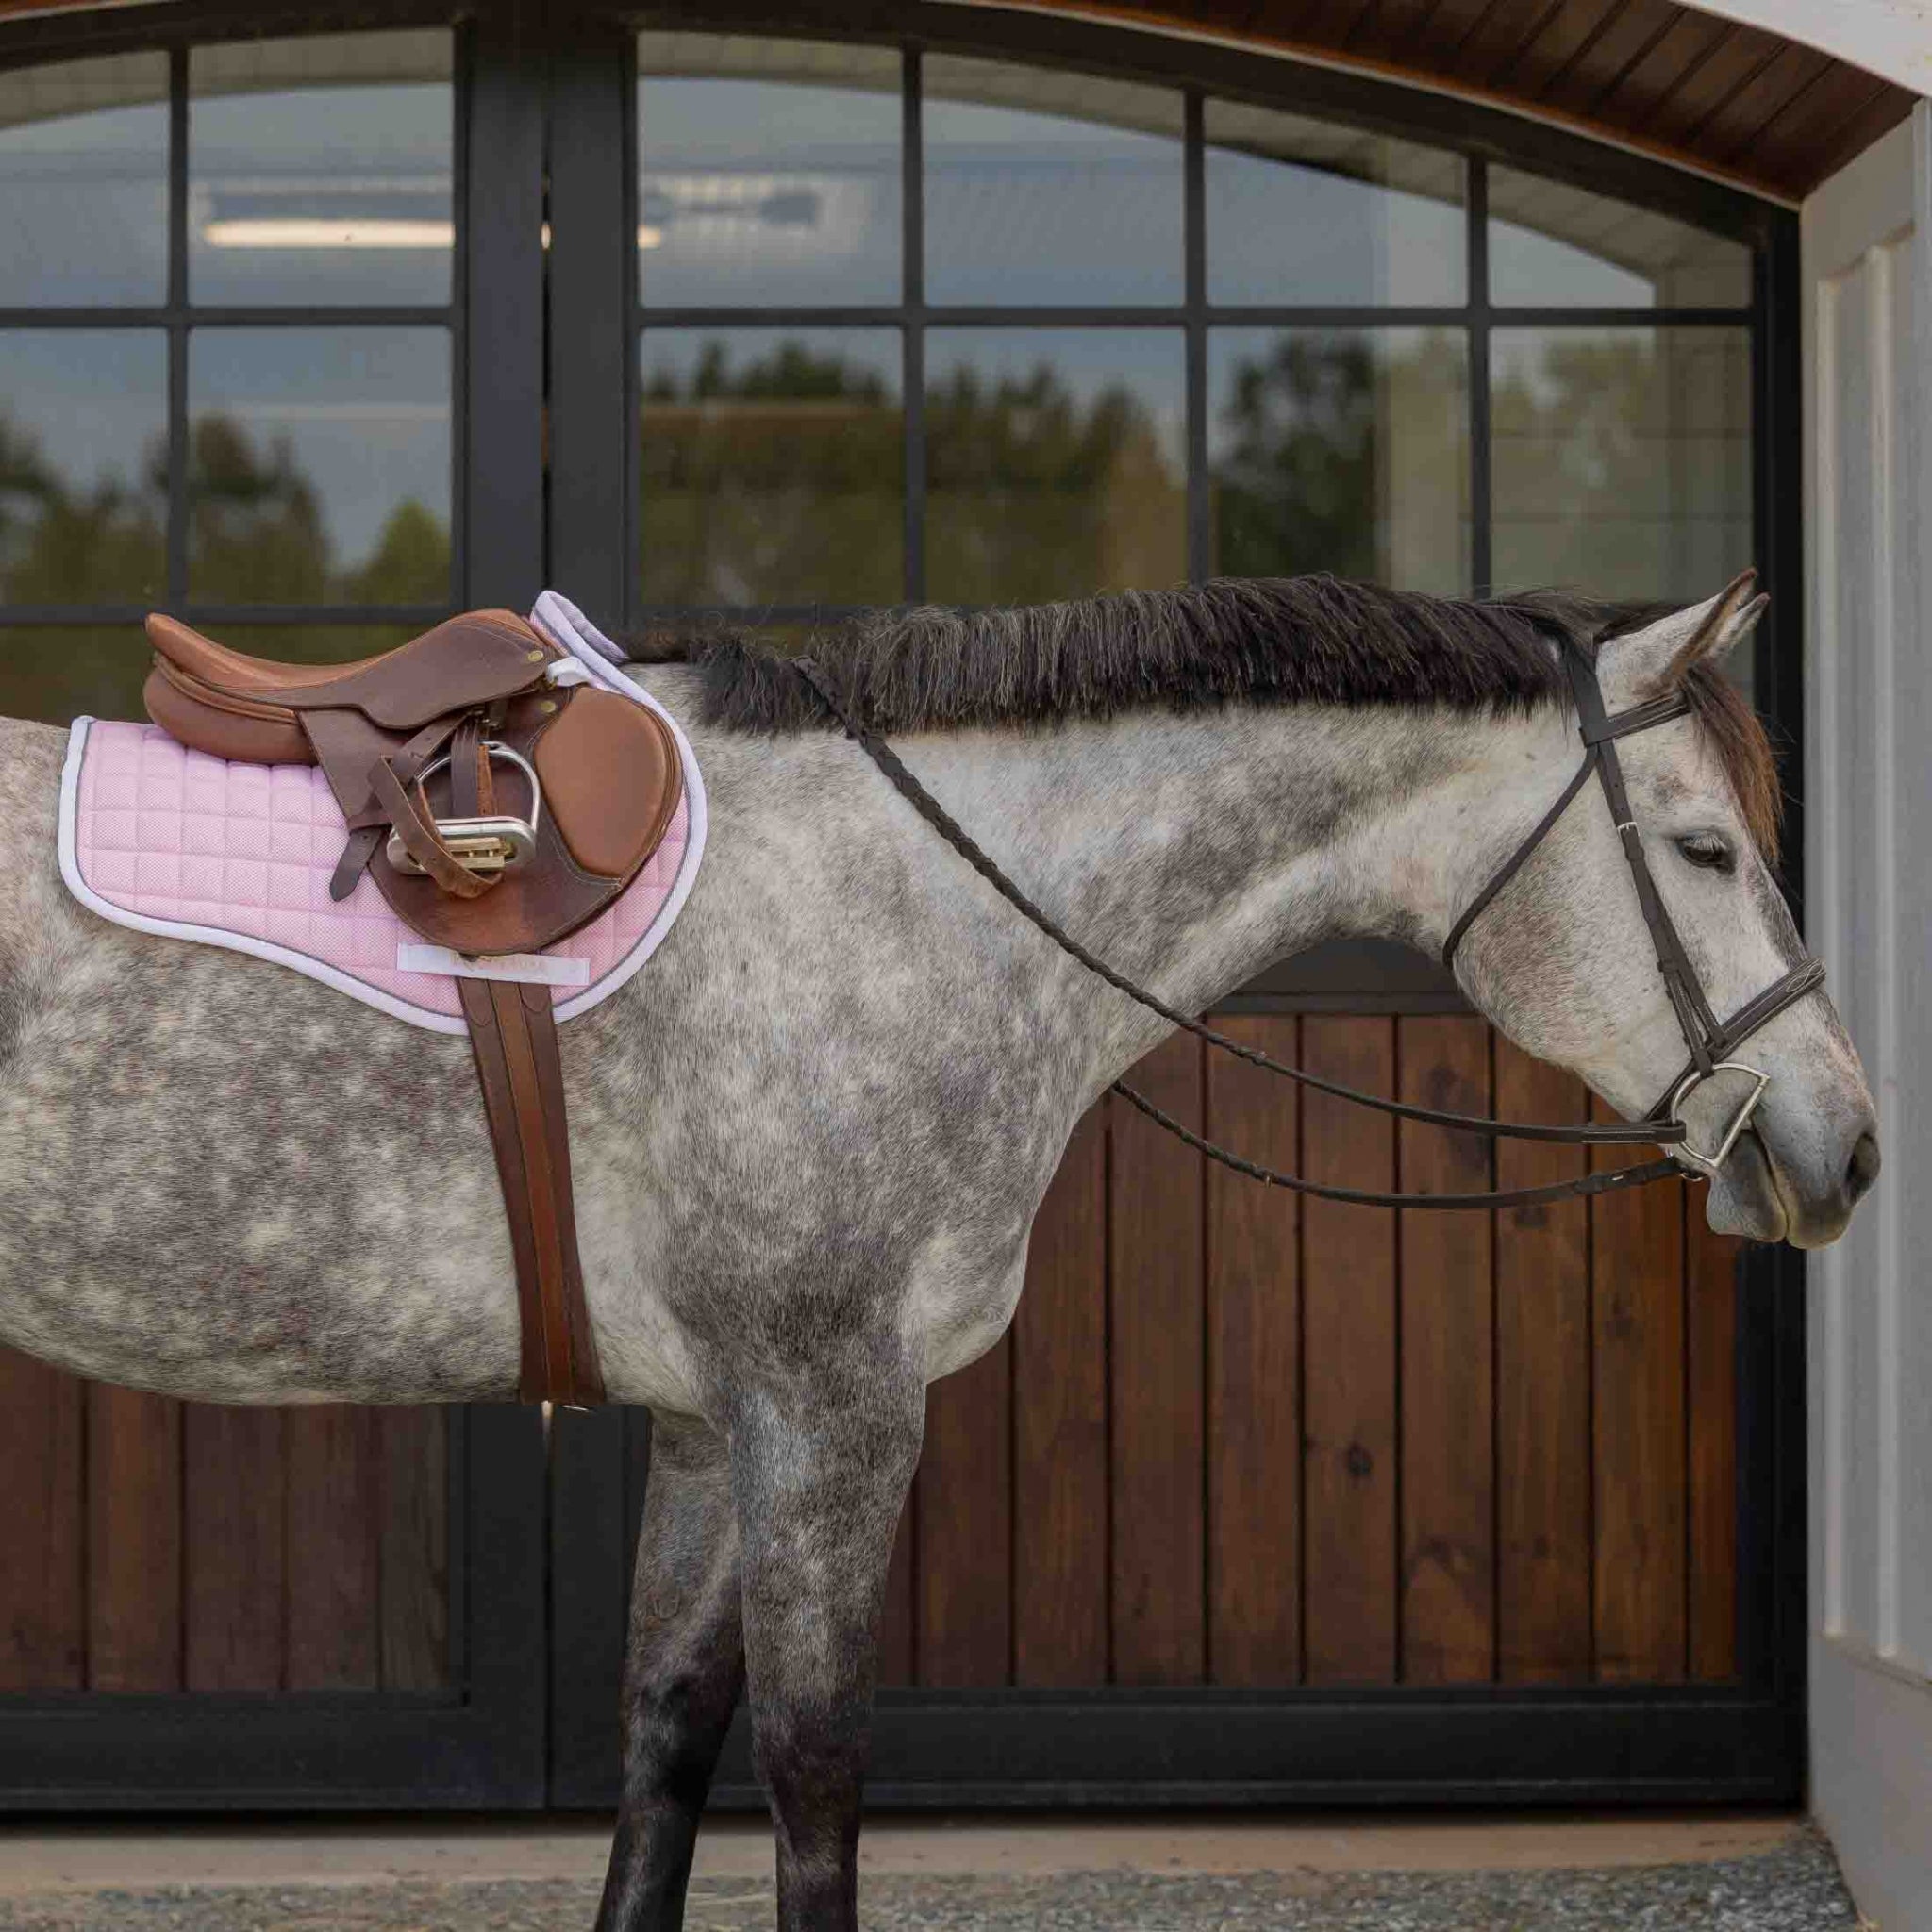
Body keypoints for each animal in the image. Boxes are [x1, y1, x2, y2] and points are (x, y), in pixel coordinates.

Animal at [0, 572, 1877, 1931]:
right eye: (1707, 848)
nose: (1841, 1144)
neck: (906, 893)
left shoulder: (713, 1424)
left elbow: (667, 1741)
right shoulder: (831, 1410)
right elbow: (816, 1779)